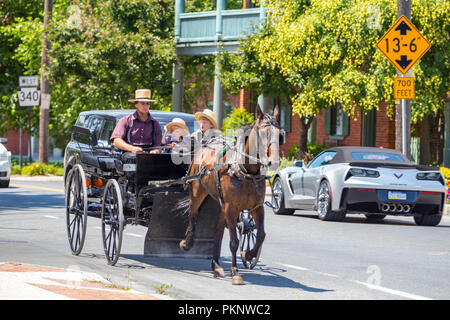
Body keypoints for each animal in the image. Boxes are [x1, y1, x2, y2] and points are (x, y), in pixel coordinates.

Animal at [180, 105, 282, 284]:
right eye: (263, 132)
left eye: (280, 134)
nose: (274, 162)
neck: (246, 171)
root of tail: (205, 145)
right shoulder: (231, 207)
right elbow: (234, 241)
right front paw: (235, 272)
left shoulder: (257, 207)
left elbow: (261, 235)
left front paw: (248, 254)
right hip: (198, 192)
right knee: (193, 214)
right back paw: (187, 243)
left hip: (221, 204)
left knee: (218, 231)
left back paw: (216, 265)